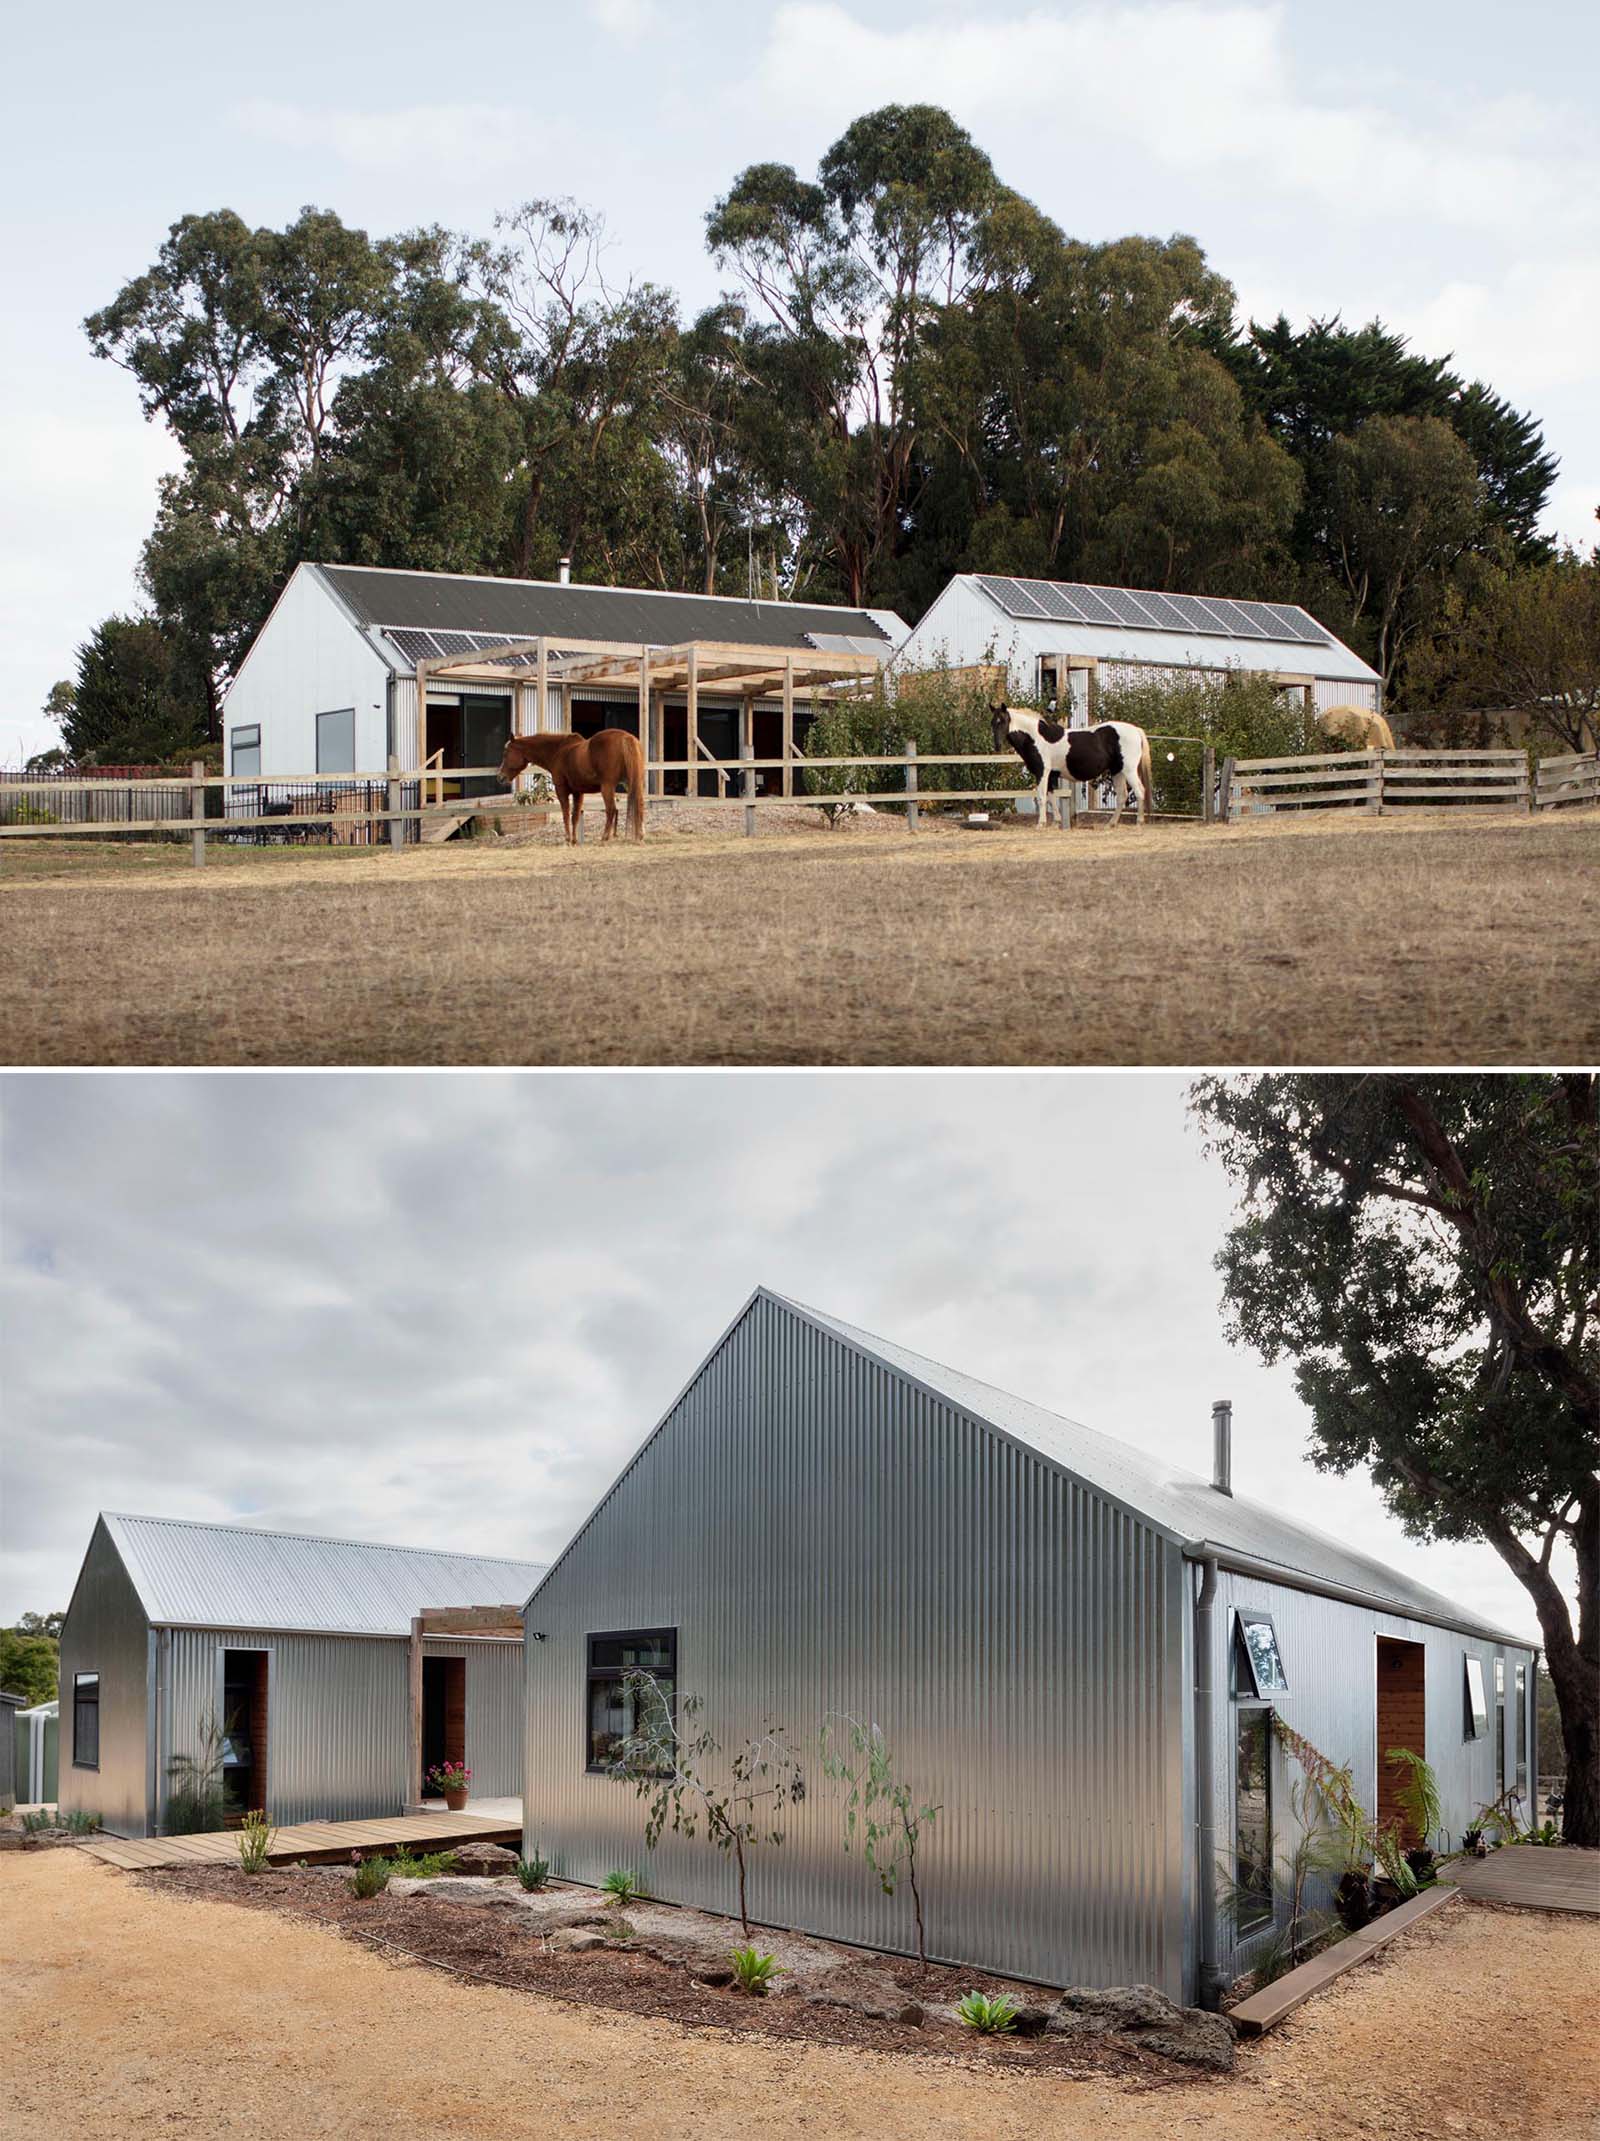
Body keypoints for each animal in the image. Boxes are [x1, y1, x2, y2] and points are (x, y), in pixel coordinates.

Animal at [503, 727, 646, 843]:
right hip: (634, 783)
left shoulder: (561, 790)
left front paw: (568, 839)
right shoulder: (578, 792)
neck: (558, 751)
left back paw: (605, 837)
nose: (501, 776)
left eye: (506, 753)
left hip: (607, 787)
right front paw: (574, 840)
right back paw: (639, 835)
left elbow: (566, 813)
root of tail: (626, 737)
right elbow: (575, 816)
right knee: (639, 804)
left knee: (611, 809)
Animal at [989, 706, 1148, 830]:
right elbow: (1051, 797)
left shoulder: (1042, 772)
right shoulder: (1051, 775)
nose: (997, 746)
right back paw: (1111, 824)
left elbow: (1042, 797)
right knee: (1122, 796)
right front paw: (1056, 822)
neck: (1035, 737)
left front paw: (1041, 824)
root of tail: (1136, 730)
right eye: (992, 723)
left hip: (1129, 770)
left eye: (1003, 721)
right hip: (1117, 771)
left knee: (1139, 791)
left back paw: (1139, 823)